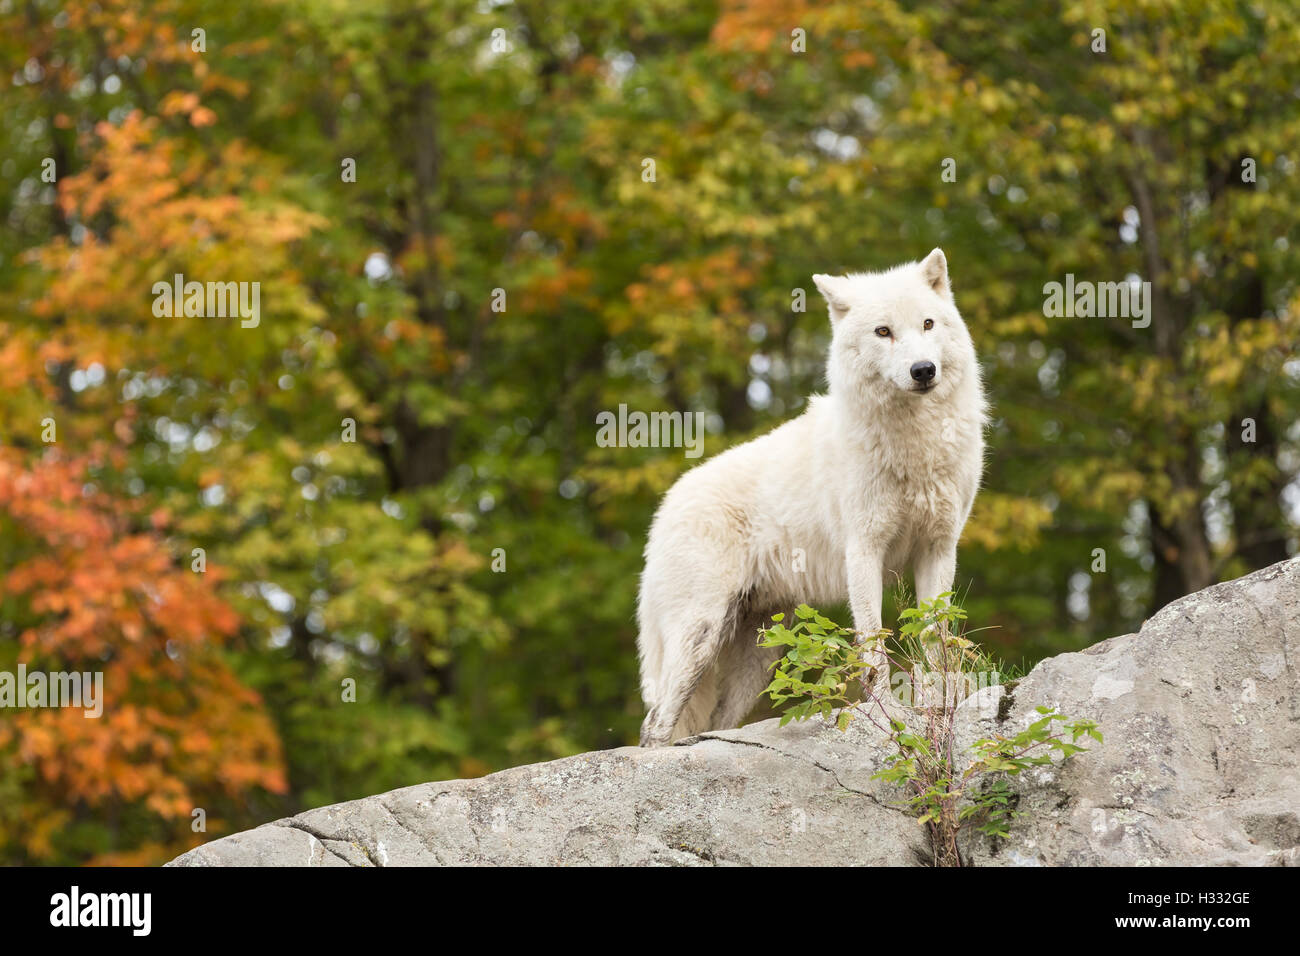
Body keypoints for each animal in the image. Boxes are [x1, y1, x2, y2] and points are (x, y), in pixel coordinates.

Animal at [636, 249, 987, 747]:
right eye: (883, 332)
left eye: (928, 324)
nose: (923, 370)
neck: (913, 445)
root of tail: (666, 507)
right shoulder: (863, 551)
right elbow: (874, 644)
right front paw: (889, 715)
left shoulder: (938, 548)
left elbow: (934, 641)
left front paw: (935, 710)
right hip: (699, 635)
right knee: (654, 723)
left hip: (759, 655)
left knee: (715, 722)